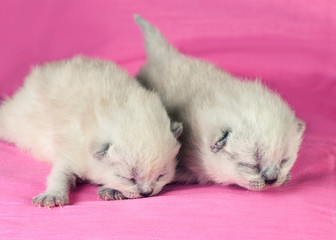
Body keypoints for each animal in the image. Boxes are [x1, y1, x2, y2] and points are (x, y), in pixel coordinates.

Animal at [0, 55, 182, 206]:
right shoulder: (69, 151)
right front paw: (52, 195)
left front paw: (112, 190)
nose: (147, 193)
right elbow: (59, 174)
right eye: (129, 178)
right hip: (16, 120)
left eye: (161, 175)